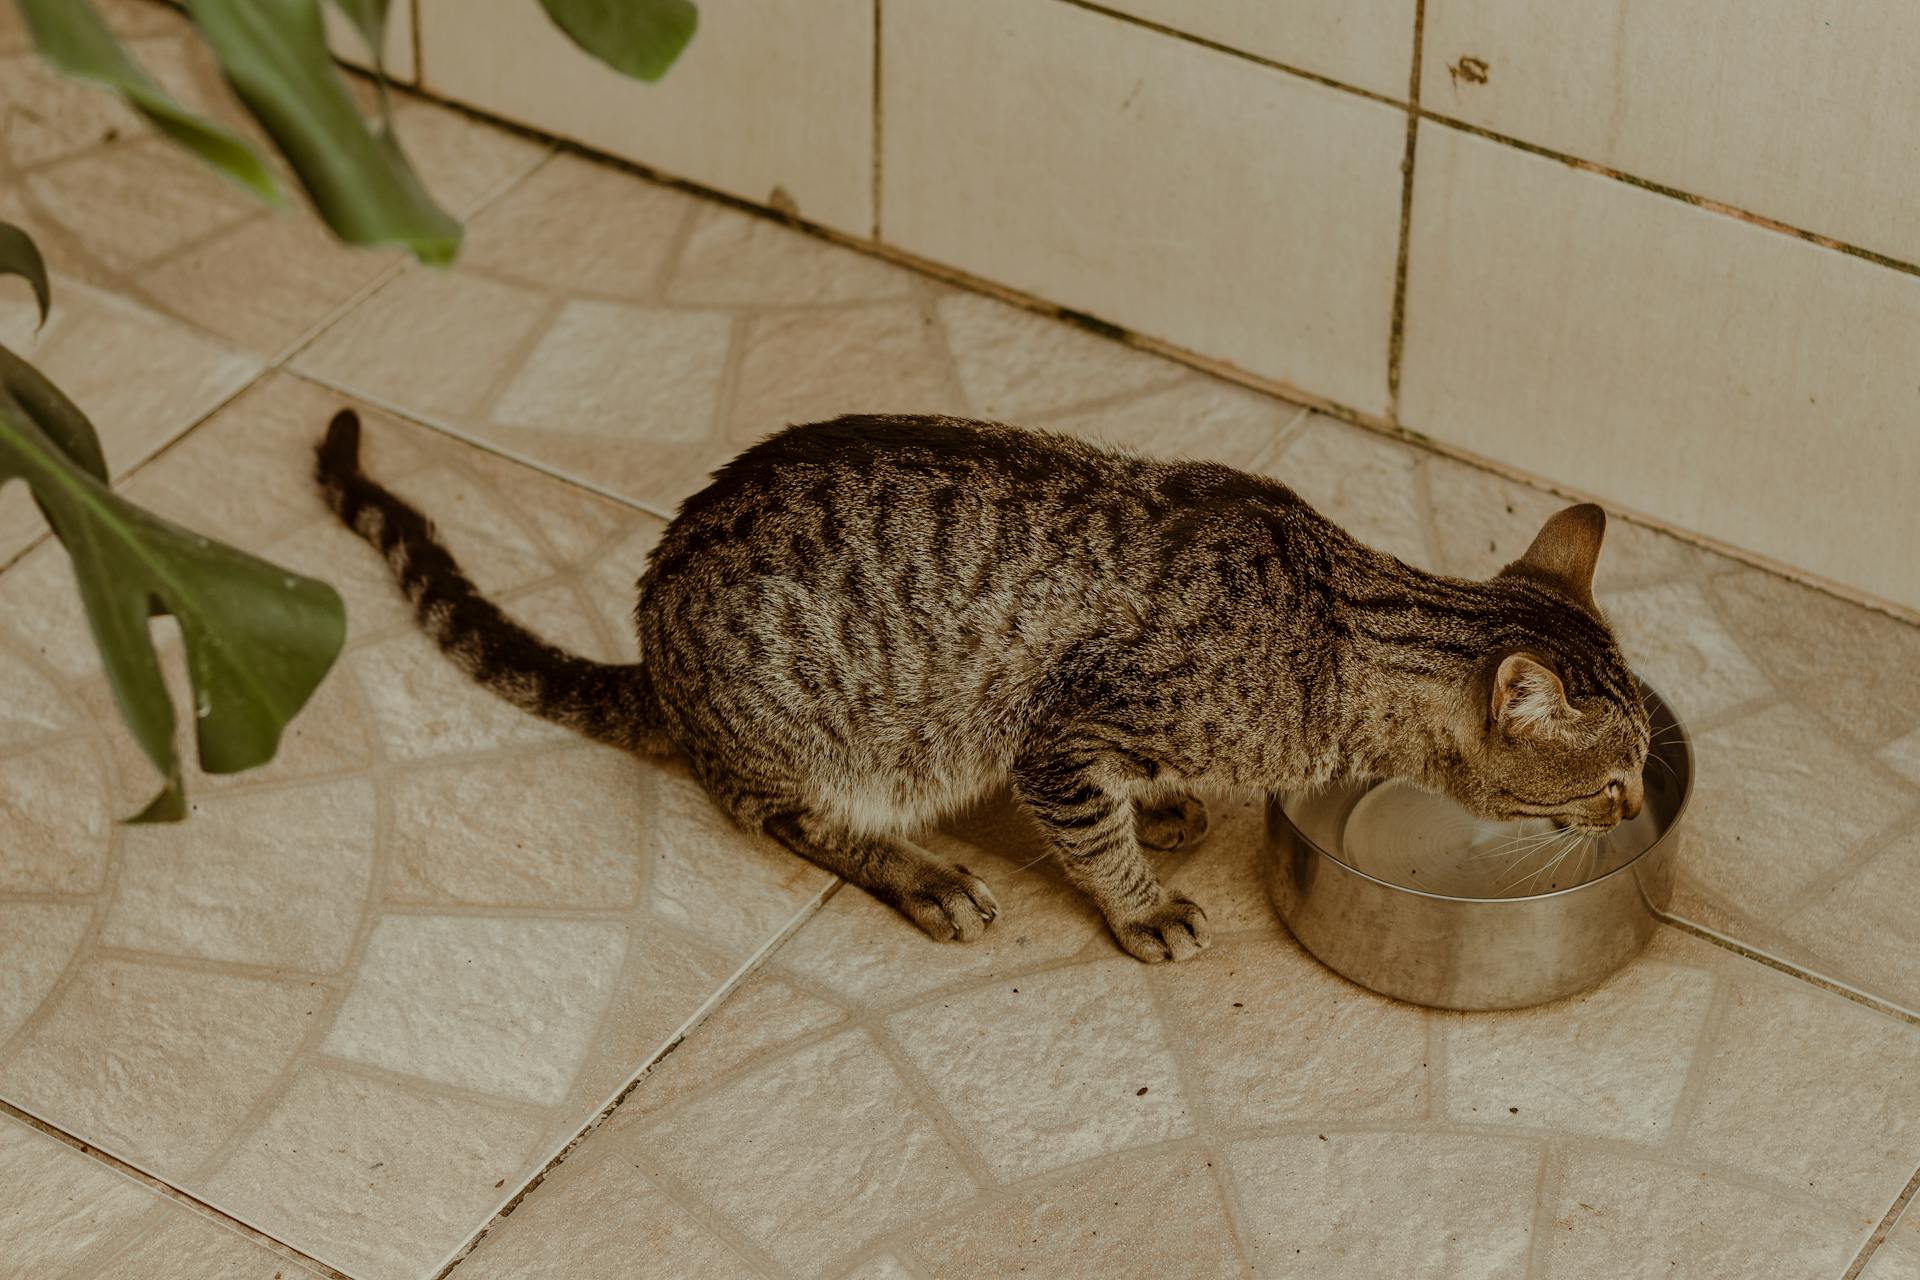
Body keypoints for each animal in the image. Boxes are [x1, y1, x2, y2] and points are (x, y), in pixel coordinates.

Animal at [314, 410, 1651, 959]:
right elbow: (1094, 837)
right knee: (789, 817)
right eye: (1616, 775)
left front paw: (1166, 803)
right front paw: (1142, 902)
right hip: (816, 740)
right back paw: (926, 874)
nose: (1638, 806)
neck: (1336, 625)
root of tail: (656, 648)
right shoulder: (1056, 740)